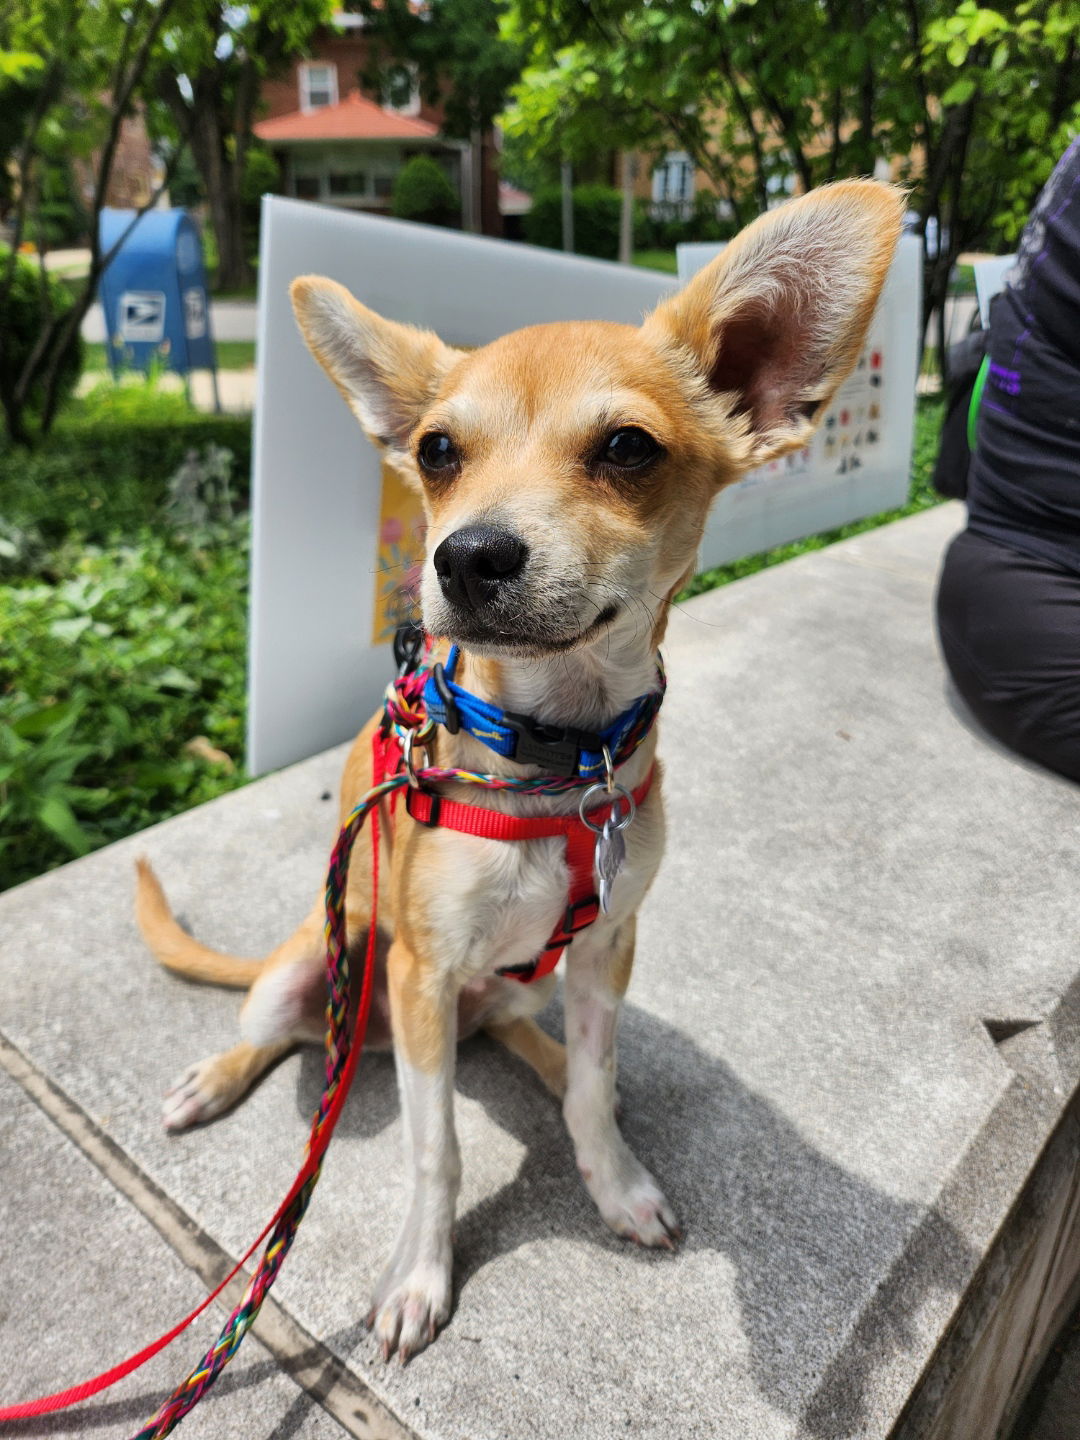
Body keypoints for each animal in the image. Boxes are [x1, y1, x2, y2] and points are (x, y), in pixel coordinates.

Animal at [137, 180, 904, 1359]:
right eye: (437, 451)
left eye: (629, 447)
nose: (465, 557)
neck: (555, 757)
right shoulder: (418, 973)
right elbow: (434, 1148)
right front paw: (418, 1274)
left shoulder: (609, 949)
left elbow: (590, 1084)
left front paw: (616, 1181)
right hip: (312, 973)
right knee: (270, 1039)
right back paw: (215, 1082)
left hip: (519, 985)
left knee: (531, 1042)